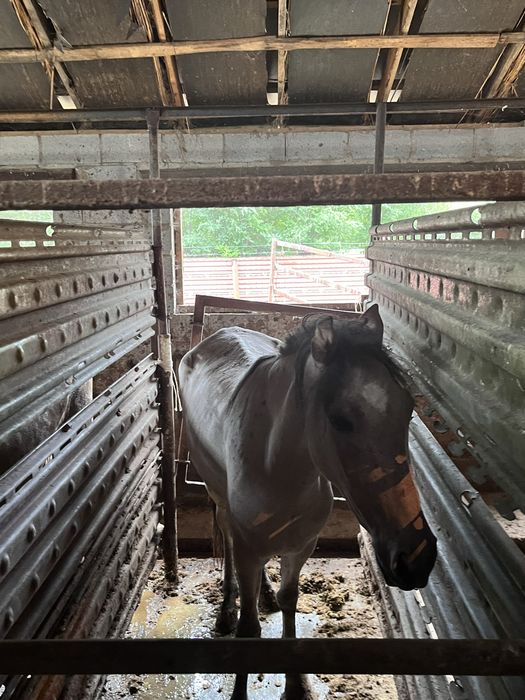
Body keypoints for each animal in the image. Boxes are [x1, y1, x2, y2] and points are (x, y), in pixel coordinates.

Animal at [178, 305, 437, 700]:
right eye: (340, 420)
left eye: (408, 409)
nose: (416, 558)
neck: (278, 467)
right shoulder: (250, 549)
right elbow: (249, 627)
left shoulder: (302, 547)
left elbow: (290, 601)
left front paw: (296, 685)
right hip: (218, 497)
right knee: (228, 539)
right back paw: (226, 609)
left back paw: (265, 594)